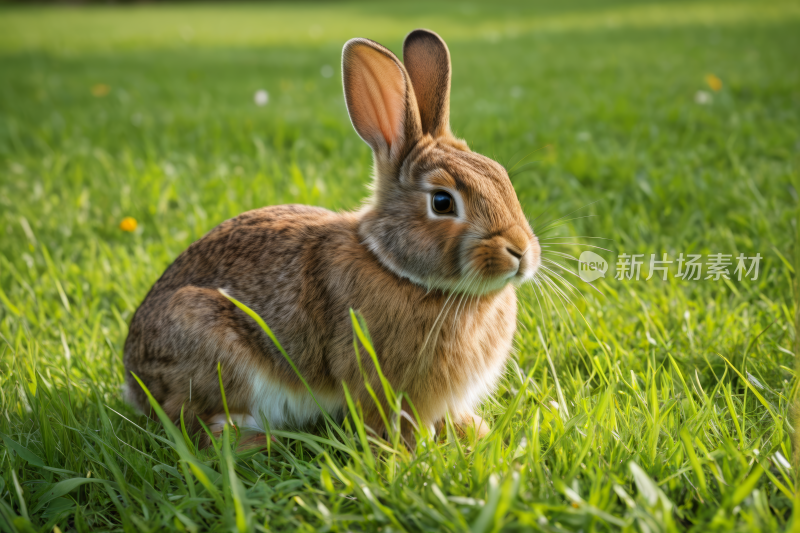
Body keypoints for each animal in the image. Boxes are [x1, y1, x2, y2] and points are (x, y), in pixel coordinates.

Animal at [122, 30, 540, 444]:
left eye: (502, 177)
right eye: (442, 202)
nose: (521, 252)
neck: (396, 270)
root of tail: (133, 377)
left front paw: (475, 431)